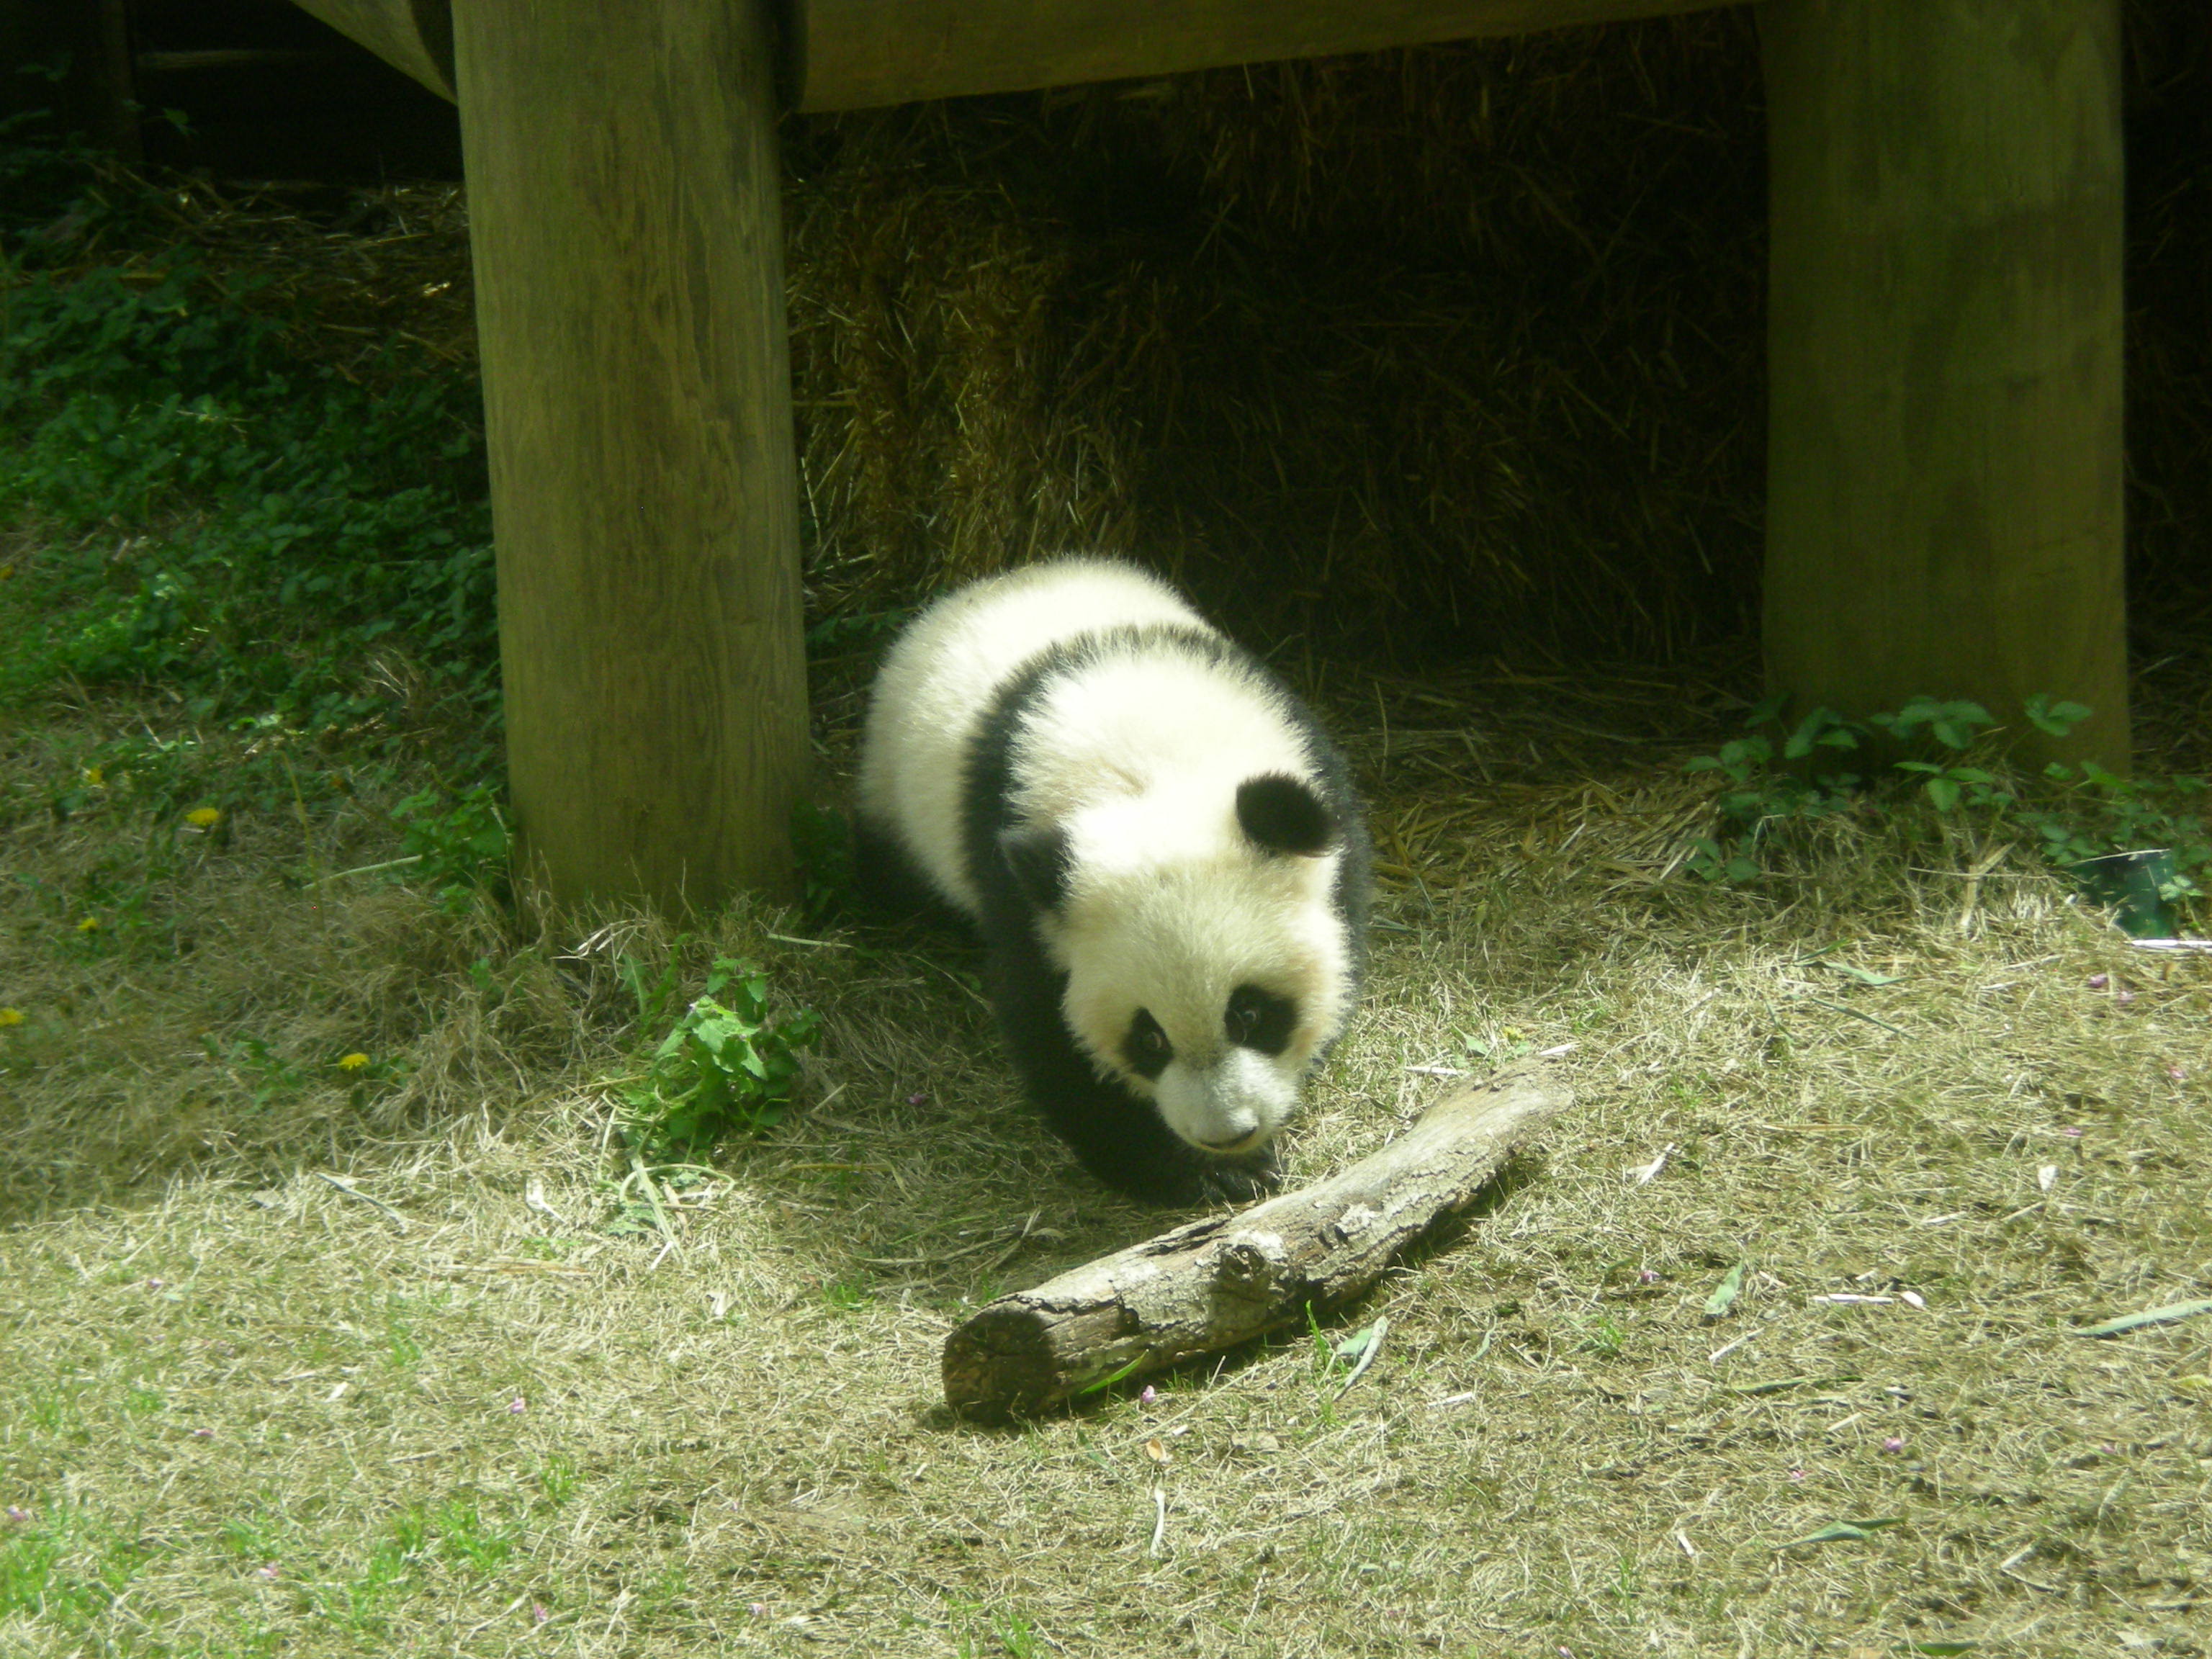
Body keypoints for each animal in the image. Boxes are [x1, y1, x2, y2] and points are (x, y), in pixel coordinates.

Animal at [853, 557, 1371, 1206]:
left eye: (1249, 1013)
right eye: (1149, 1039)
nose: (1226, 1134)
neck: (1148, 770)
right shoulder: (1025, 889)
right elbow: (1049, 1025)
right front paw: (1202, 1170)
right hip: (896, 795)